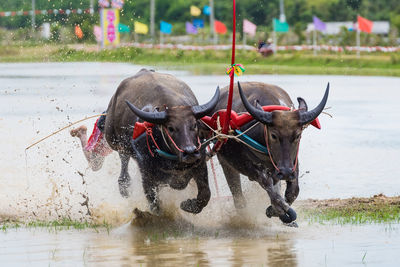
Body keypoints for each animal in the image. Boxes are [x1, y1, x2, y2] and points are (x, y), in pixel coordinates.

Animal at [70, 69, 219, 216]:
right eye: (170, 128)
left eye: (194, 125)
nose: (190, 152)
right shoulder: (147, 175)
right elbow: (154, 204)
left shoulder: (200, 162)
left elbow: (205, 194)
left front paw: (188, 205)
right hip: (113, 140)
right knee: (122, 164)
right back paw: (124, 187)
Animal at [214, 82, 330, 226]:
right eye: (274, 135)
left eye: (297, 135)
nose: (285, 173)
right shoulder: (248, 165)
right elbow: (267, 184)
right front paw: (279, 209)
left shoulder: (293, 162)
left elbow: (293, 191)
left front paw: (275, 210)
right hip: (225, 162)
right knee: (238, 196)